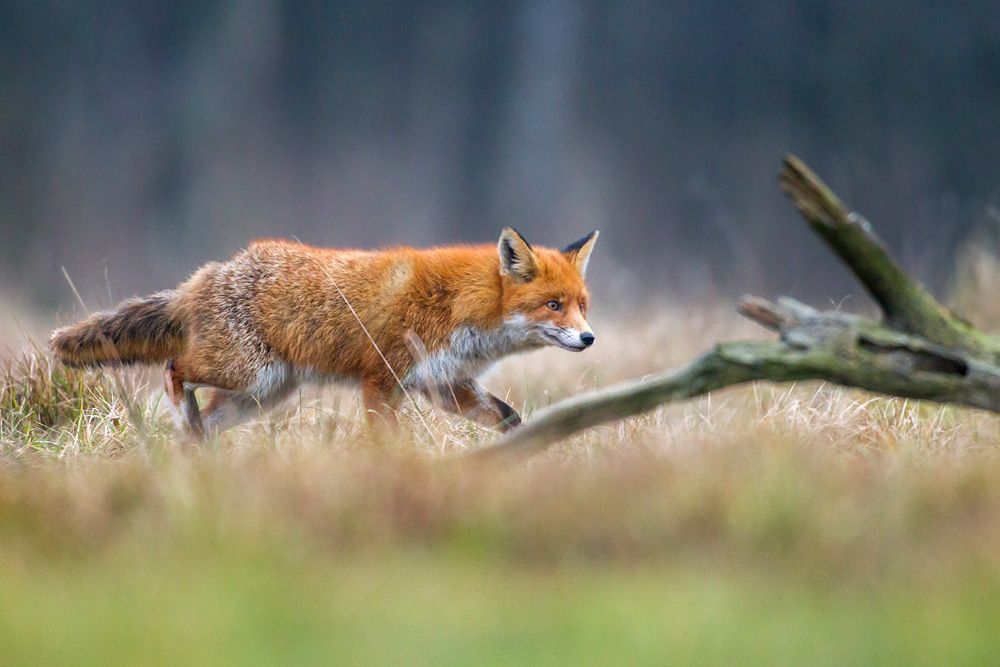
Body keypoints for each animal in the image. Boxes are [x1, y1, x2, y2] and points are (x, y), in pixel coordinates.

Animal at [49, 228, 599, 437]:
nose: (590, 339)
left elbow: (508, 417)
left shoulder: (443, 384)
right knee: (173, 367)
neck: (462, 306)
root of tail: (208, 274)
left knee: (201, 420)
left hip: (260, 395)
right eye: (553, 305)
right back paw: (181, 417)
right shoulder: (382, 379)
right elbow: (384, 440)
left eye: (582, 307)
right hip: (247, 373)